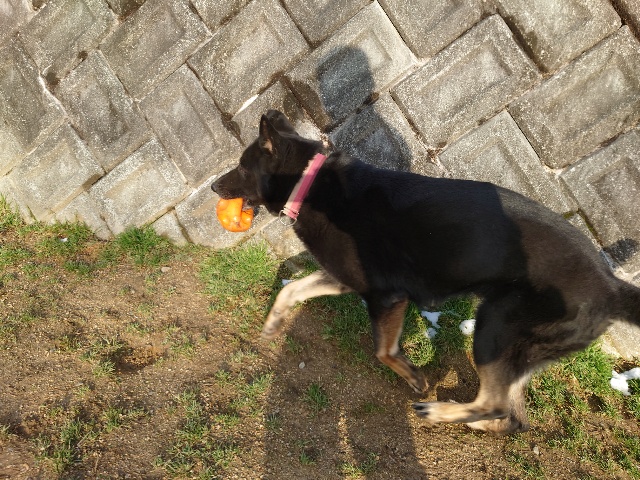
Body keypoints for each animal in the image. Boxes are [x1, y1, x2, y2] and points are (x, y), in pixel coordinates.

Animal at [212, 109, 640, 434]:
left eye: (241, 167)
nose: (214, 186)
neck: (310, 181)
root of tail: (611, 286)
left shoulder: (386, 296)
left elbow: (382, 350)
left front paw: (414, 377)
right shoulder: (347, 279)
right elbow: (291, 290)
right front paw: (273, 323)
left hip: (496, 326)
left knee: (494, 403)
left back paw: (441, 411)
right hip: (514, 347)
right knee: (511, 415)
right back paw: (471, 422)